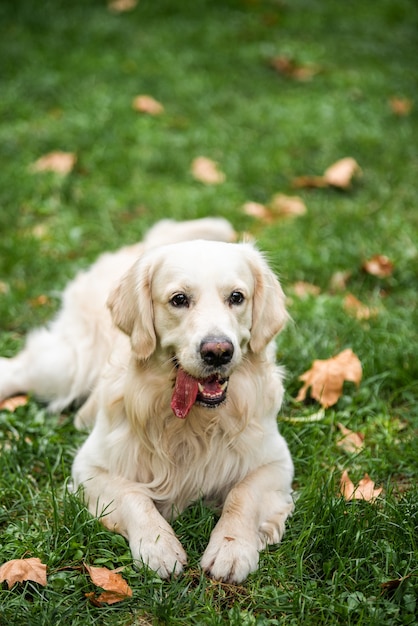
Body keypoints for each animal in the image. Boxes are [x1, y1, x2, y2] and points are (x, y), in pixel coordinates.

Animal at [0, 218, 294, 580]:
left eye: (237, 297)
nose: (218, 351)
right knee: (16, 369)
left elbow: (244, 493)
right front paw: (158, 546)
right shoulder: (90, 466)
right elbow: (132, 495)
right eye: (179, 299)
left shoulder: (276, 461)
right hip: (65, 366)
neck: (193, 423)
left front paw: (232, 547)